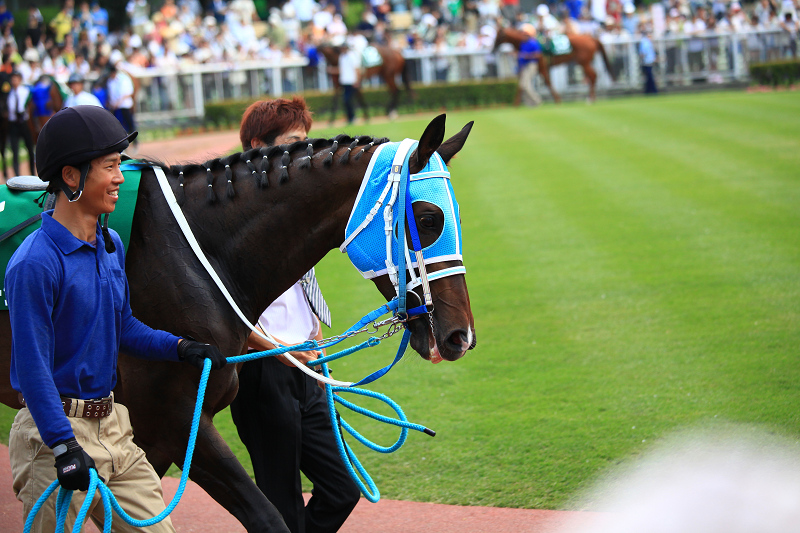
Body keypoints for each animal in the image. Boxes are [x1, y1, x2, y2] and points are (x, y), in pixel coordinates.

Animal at [0, 114, 476, 528]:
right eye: (430, 219)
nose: (460, 336)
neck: (194, 253)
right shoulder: (176, 423)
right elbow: (269, 516)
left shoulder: (153, 437)